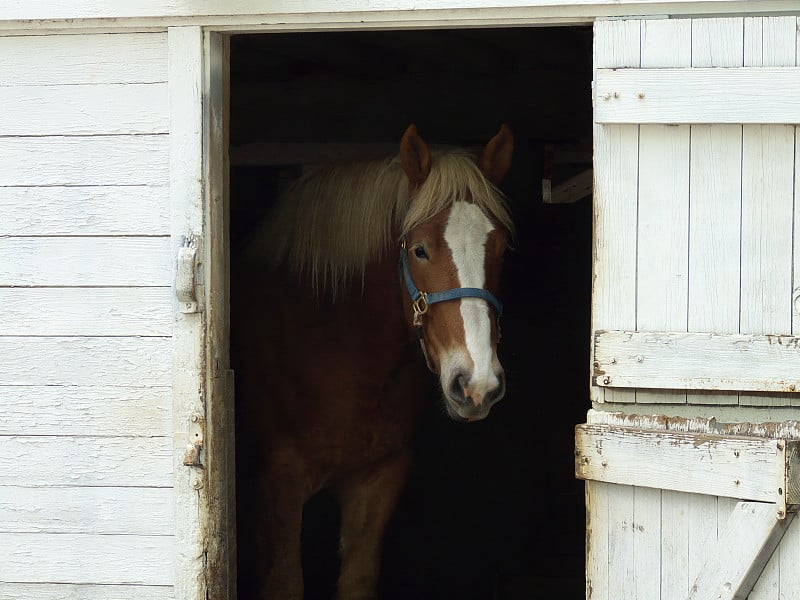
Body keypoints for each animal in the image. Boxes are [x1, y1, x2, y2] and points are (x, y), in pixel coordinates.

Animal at [234, 124, 516, 596]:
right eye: (419, 250)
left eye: (500, 250)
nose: (477, 385)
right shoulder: (277, 484)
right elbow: (284, 583)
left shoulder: (379, 479)